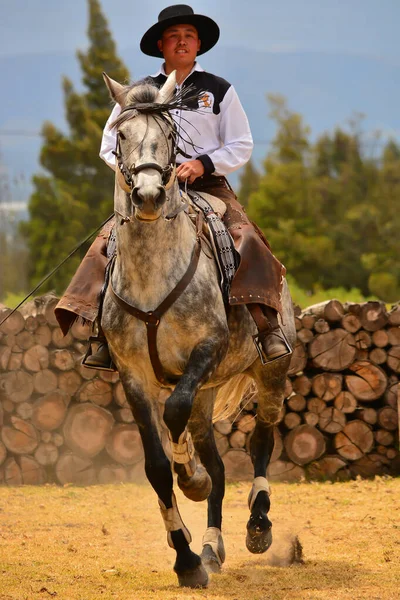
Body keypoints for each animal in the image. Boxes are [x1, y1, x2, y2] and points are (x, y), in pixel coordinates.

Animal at [101, 71, 296, 592]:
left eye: (170, 135)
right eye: (121, 136)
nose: (148, 195)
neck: (153, 273)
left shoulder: (206, 349)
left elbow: (175, 413)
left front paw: (190, 477)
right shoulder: (132, 376)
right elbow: (156, 465)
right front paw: (186, 558)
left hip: (271, 372)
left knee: (262, 437)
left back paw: (258, 525)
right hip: (209, 396)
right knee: (222, 465)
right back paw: (211, 546)